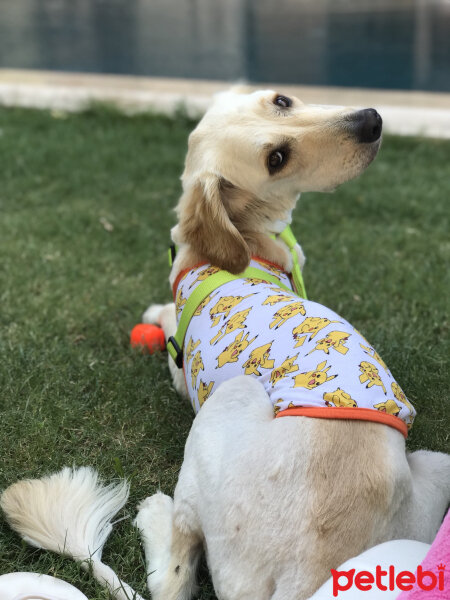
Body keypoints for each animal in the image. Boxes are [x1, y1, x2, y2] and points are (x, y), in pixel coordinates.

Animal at [1, 88, 448, 600]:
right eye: (276, 159)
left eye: (282, 100)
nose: (372, 120)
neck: (240, 241)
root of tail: (307, 579)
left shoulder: (181, 369)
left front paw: (157, 313)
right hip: (433, 468)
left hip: (234, 396)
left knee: (174, 572)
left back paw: (155, 514)